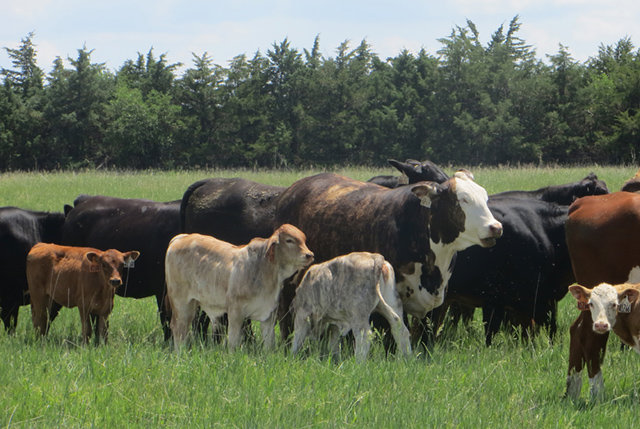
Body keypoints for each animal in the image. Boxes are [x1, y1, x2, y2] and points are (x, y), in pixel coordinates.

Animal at [165, 224, 314, 350]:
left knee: (184, 329)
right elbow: (234, 341)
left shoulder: (269, 315)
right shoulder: (235, 312)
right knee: (178, 328)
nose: (309, 255)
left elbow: (269, 344)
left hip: (191, 304)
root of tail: (181, 237)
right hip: (180, 302)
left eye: (304, 239)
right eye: (289, 240)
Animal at [275, 171, 503, 341]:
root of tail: (291, 191)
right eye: (463, 200)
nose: (495, 227)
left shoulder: (435, 302)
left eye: (485, 198)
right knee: (286, 317)